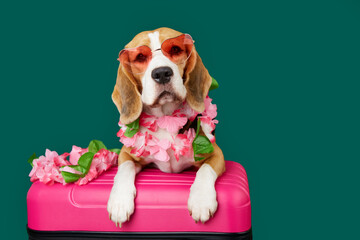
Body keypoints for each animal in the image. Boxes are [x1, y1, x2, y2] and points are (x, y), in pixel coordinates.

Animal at [107, 27, 225, 227]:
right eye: (140, 56)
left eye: (175, 49)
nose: (162, 73)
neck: (165, 117)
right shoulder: (127, 154)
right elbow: (124, 170)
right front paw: (119, 201)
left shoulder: (216, 154)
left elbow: (205, 170)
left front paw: (201, 200)